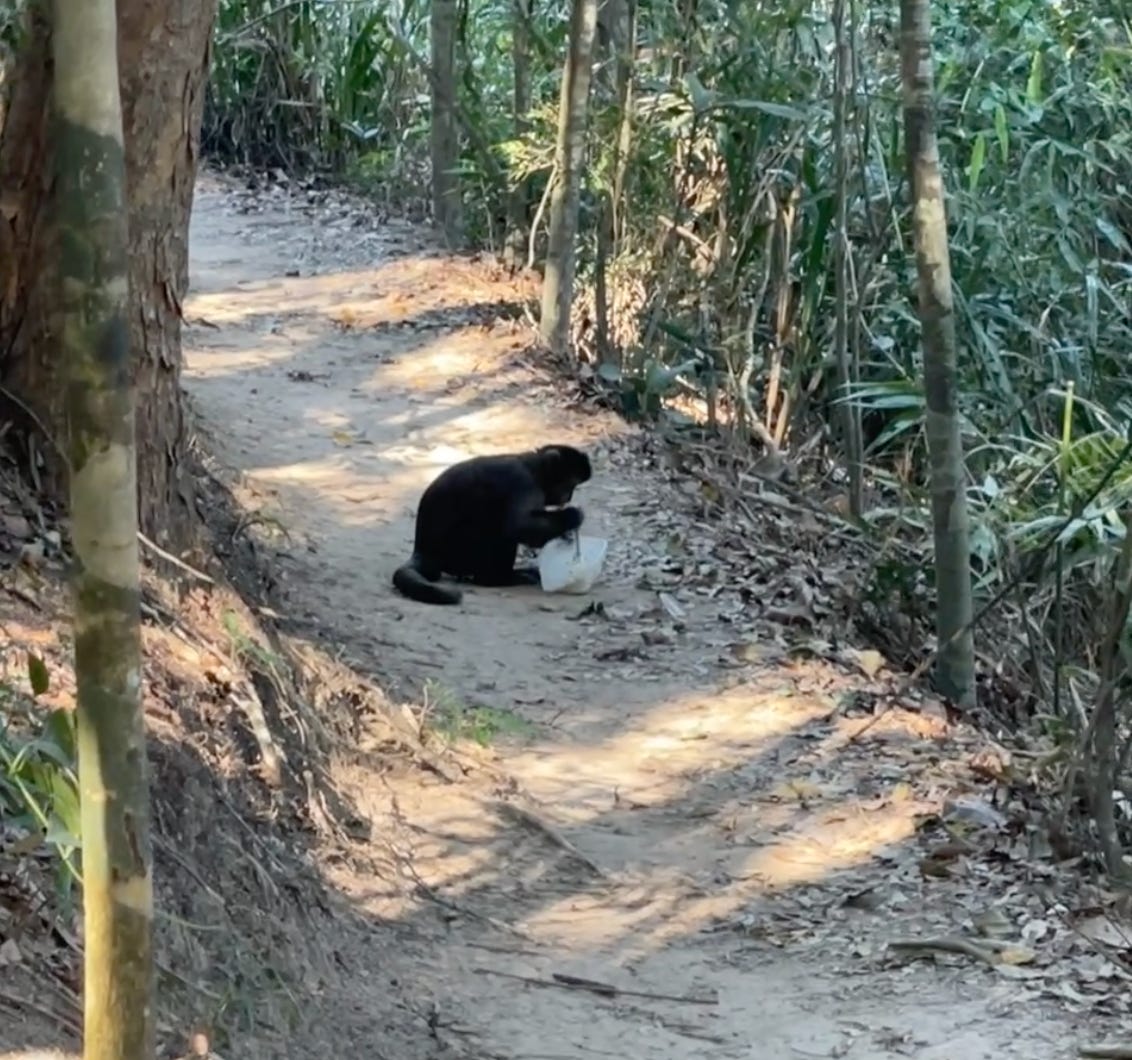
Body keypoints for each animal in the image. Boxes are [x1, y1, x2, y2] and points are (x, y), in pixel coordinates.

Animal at [391, 439, 593, 602]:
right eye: (570, 485)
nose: (569, 496)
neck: (532, 468)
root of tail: (423, 550)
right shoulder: (523, 483)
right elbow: (518, 526)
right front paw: (572, 516)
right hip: (459, 550)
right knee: (499, 532)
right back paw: (498, 578)